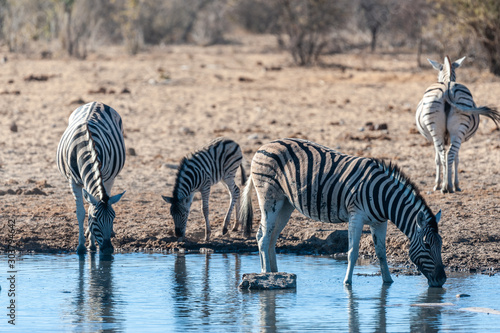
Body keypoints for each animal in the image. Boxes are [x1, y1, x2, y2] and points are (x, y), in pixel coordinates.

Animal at [56, 101, 126, 254]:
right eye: (94, 219)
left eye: (114, 217)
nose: (108, 249)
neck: (84, 146)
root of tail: (96, 102)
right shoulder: (73, 181)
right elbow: (81, 212)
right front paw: (82, 246)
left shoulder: (103, 175)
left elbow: (89, 207)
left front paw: (92, 244)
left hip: (111, 177)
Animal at [240, 139, 448, 286]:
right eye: (427, 245)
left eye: (441, 245)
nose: (442, 280)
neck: (384, 198)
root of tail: (263, 146)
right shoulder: (356, 216)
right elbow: (352, 252)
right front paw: (347, 283)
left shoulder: (380, 222)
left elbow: (381, 253)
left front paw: (388, 281)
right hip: (269, 199)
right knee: (263, 237)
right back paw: (266, 274)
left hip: (285, 204)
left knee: (270, 236)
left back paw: (276, 273)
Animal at [414, 56, 500, 193]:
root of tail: (447, 89)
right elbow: (455, 159)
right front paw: (452, 184)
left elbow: (442, 159)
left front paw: (441, 184)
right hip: (457, 130)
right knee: (448, 155)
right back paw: (447, 186)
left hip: (440, 130)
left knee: (445, 155)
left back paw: (446, 186)